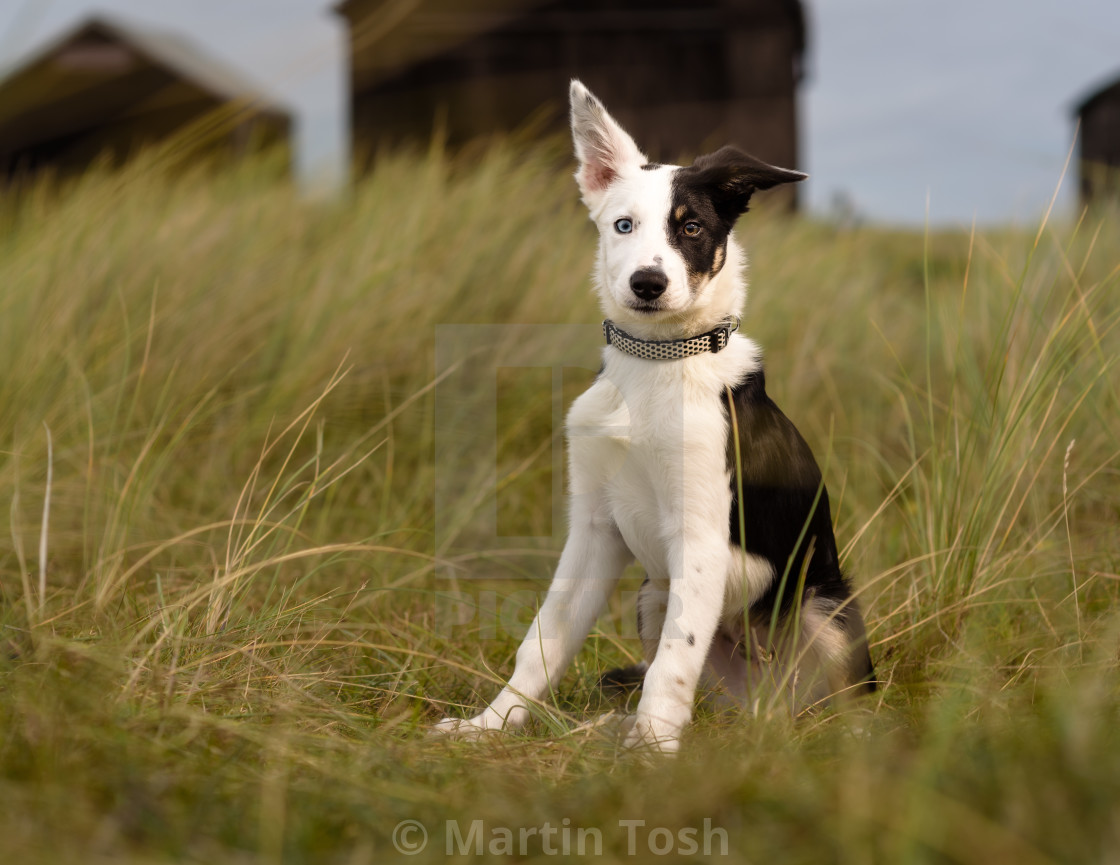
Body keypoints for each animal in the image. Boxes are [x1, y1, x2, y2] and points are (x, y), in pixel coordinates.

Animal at [434, 81, 873, 752]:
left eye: (691, 227)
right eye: (624, 225)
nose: (647, 283)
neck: (656, 364)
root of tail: (768, 712)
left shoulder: (700, 538)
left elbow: (673, 661)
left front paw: (650, 754)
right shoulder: (592, 529)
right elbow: (544, 639)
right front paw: (492, 724)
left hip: (825, 606)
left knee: (847, 702)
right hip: (651, 595)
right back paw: (608, 726)